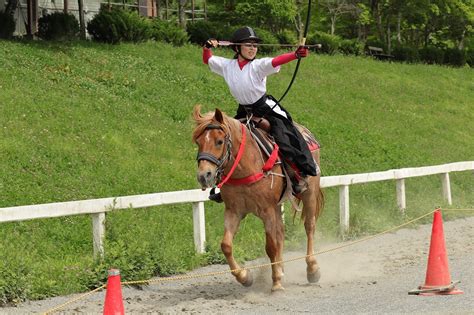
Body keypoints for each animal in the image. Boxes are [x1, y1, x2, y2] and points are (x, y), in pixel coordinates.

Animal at [192, 105, 322, 292]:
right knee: (281, 232)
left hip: (309, 193)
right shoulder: (234, 211)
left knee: (309, 226)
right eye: (198, 142)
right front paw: (244, 277)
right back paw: (281, 267)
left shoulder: (267, 210)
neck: (246, 167)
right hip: (277, 206)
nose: (204, 176)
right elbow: (226, 245)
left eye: (219, 141)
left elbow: (270, 246)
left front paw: (276, 282)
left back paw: (312, 269)